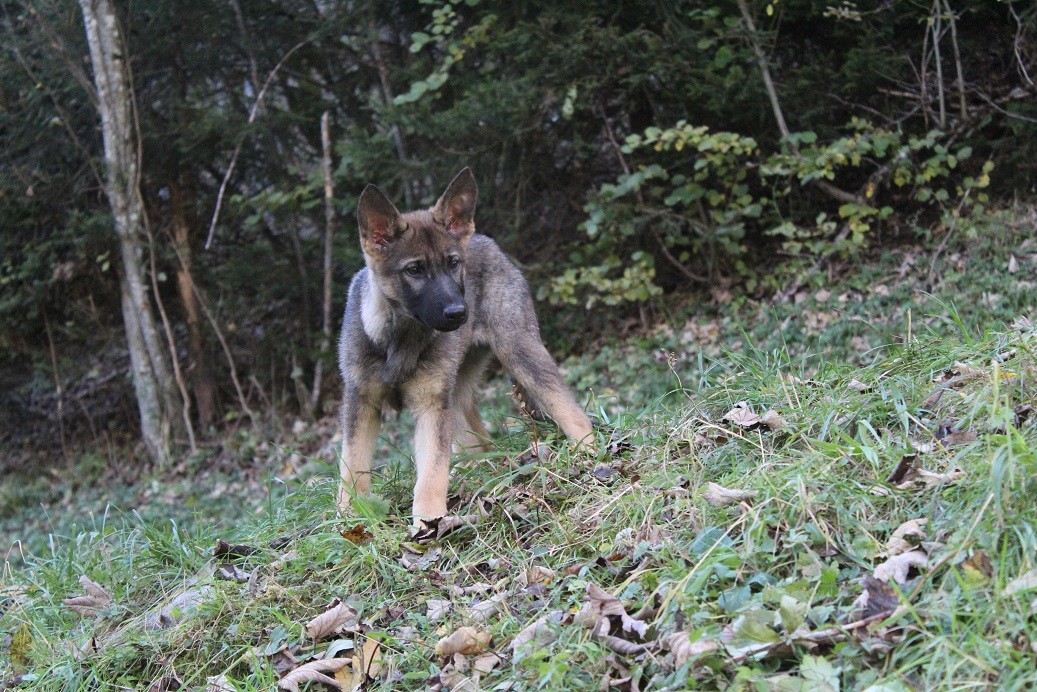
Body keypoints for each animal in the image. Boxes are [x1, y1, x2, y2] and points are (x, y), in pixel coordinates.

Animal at [340, 169, 597, 524]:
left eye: (453, 264)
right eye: (414, 270)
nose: (459, 313)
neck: (400, 336)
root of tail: (487, 241)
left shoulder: (431, 405)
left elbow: (431, 474)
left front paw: (428, 522)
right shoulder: (361, 402)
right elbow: (352, 468)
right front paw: (348, 517)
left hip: (519, 353)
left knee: (571, 412)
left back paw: (589, 453)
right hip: (459, 392)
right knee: (479, 440)